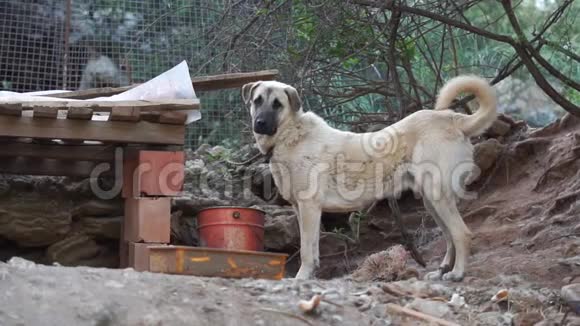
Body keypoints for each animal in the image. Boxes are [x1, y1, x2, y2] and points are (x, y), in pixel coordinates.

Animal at [242, 75, 496, 282]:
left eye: (277, 104)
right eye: (257, 101)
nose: (260, 123)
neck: (290, 134)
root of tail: (451, 118)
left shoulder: (309, 207)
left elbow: (306, 249)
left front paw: (301, 277)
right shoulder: (301, 209)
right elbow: (313, 249)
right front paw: (310, 275)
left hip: (438, 196)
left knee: (461, 234)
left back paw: (457, 273)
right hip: (431, 201)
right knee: (450, 236)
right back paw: (442, 270)